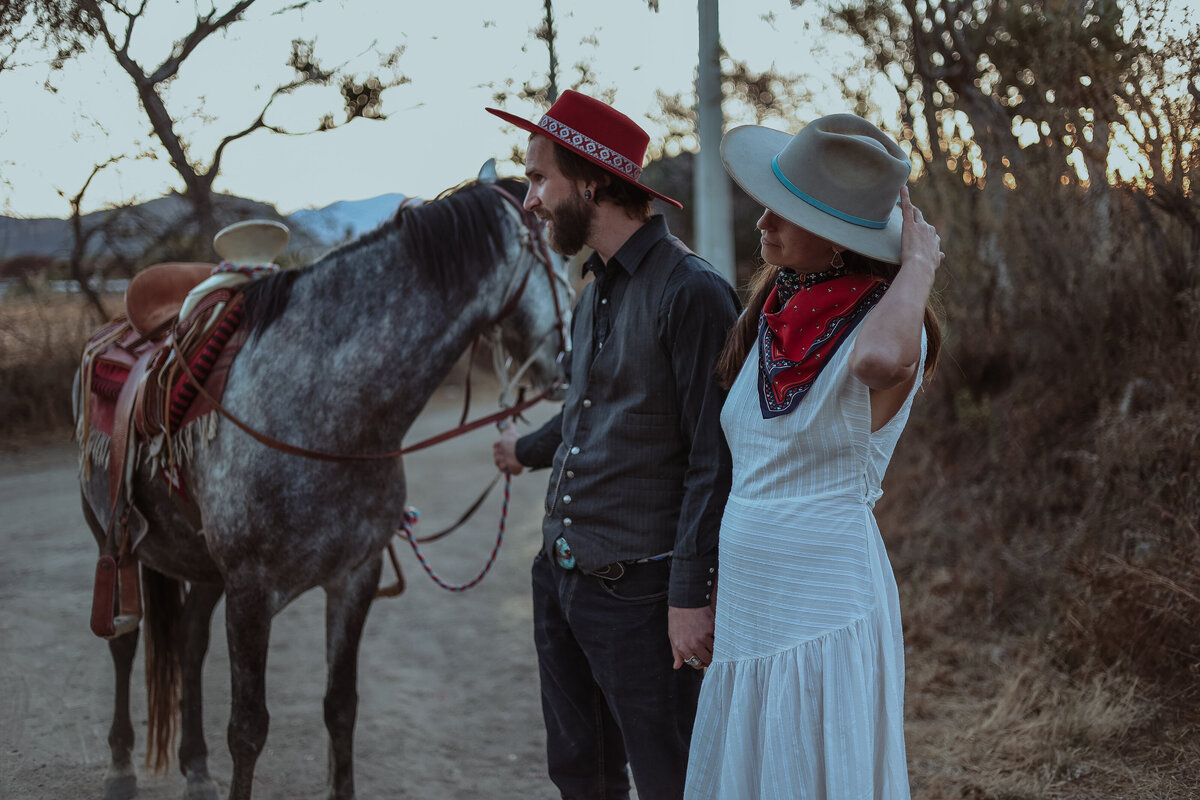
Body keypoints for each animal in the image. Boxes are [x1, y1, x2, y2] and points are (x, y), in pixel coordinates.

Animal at [75, 172, 571, 796]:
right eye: (558, 255)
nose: (570, 363)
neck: (324, 410)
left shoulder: (355, 577)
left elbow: (340, 707)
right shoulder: (251, 591)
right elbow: (248, 728)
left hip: (204, 565)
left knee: (189, 643)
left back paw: (196, 766)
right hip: (111, 540)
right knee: (123, 642)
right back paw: (120, 764)